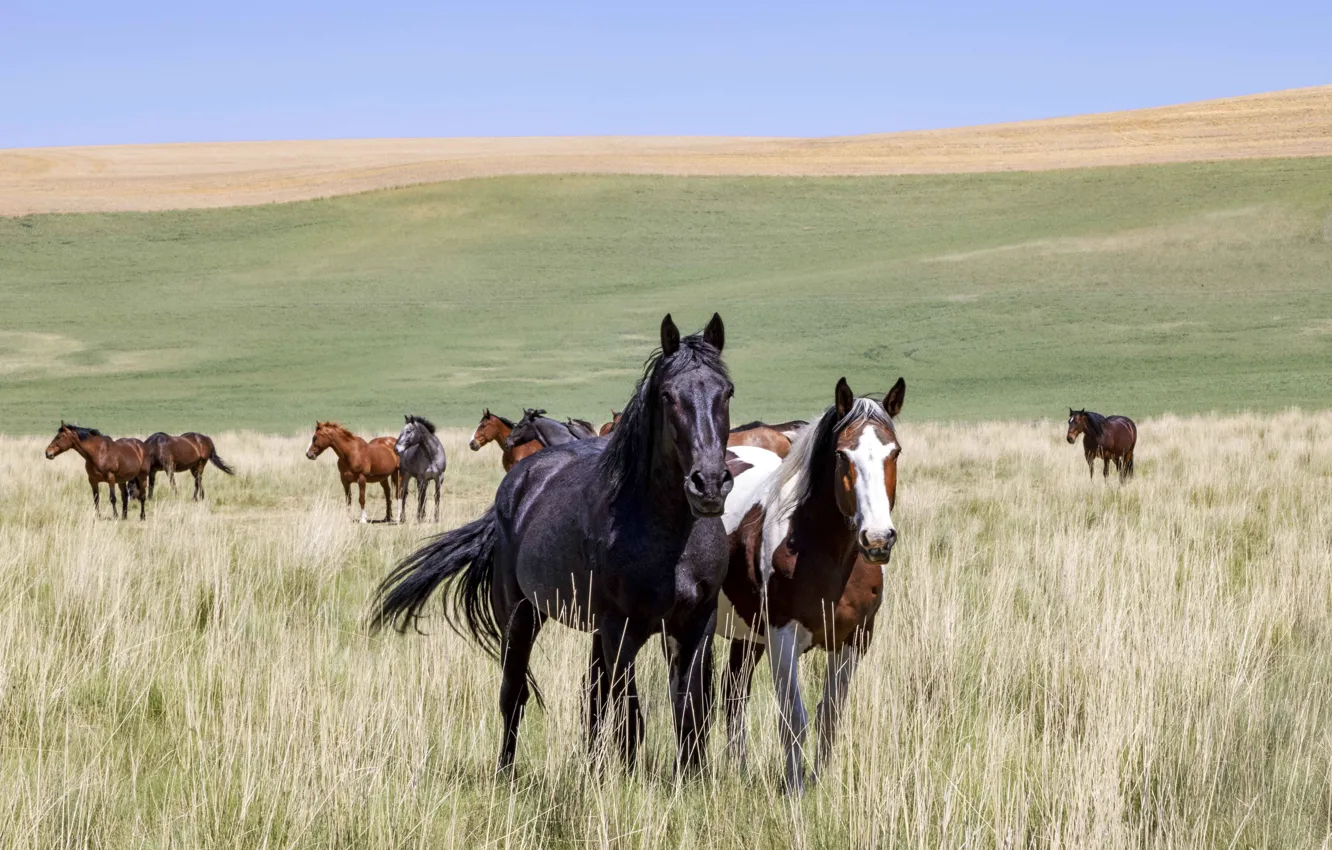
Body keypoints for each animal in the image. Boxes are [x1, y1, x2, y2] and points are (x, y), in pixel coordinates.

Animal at [373, 314, 733, 775]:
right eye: (668, 395)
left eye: (726, 392)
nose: (709, 484)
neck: (671, 537)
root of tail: (514, 487)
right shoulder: (622, 630)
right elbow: (630, 718)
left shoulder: (695, 624)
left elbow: (689, 713)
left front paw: (690, 780)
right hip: (520, 616)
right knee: (515, 694)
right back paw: (506, 773)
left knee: (593, 697)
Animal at [717, 377, 905, 793]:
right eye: (842, 455)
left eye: (894, 452)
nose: (877, 539)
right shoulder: (782, 636)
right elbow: (794, 718)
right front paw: (795, 789)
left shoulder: (854, 639)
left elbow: (829, 716)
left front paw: (821, 783)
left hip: (746, 635)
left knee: (733, 694)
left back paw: (738, 770)